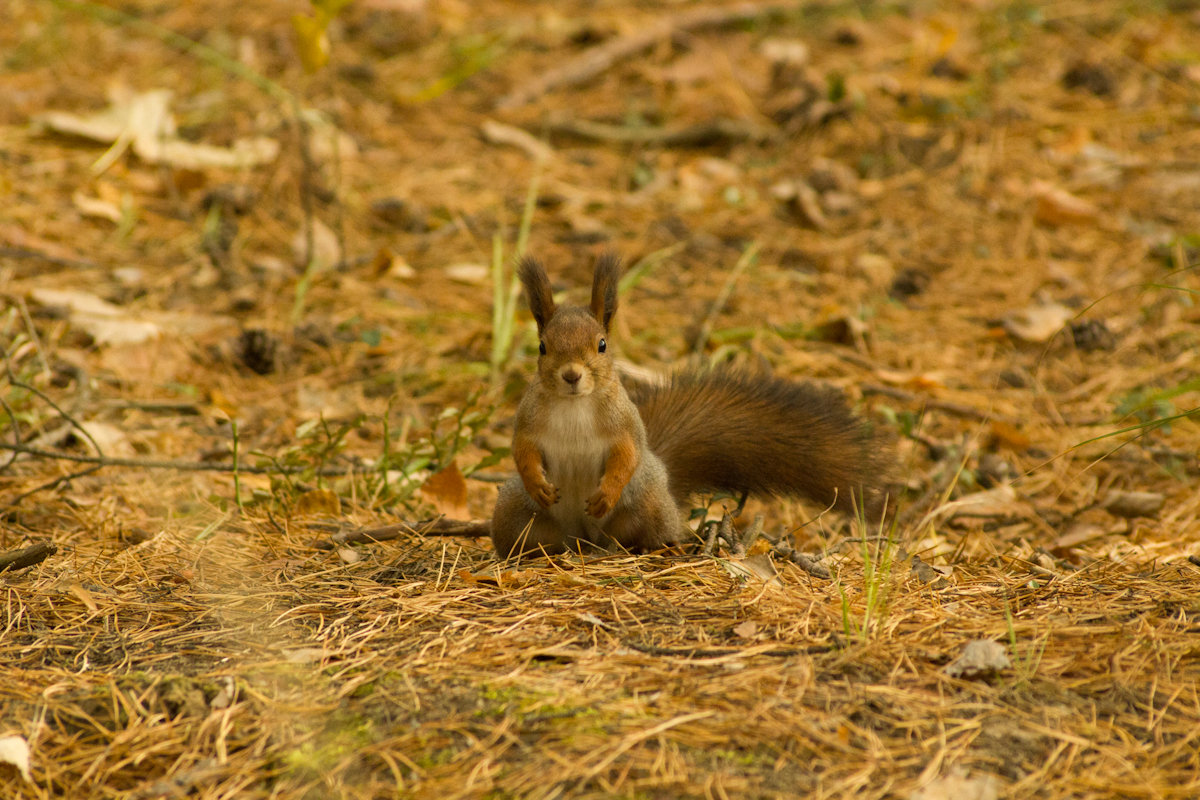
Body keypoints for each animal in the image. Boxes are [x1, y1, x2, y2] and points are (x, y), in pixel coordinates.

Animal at [487, 253, 892, 561]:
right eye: (542, 347)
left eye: (602, 345)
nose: (571, 375)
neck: (575, 404)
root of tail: (585, 539)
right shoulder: (528, 421)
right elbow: (522, 451)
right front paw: (539, 484)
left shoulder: (625, 423)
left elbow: (627, 453)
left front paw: (607, 492)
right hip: (511, 509)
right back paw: (530, 553)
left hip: (648, 501)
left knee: (649, 531)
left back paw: (660, 547)